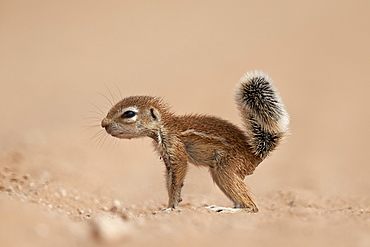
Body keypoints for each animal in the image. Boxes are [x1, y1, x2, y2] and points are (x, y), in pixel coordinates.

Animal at [100, 71, 290, 212]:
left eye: (129, 114)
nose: (103, 123)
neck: (164, 126)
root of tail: (255, 154)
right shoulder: (167, 159)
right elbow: (170, 182)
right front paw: (172, 203)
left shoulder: (176, 151)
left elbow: (176, 180)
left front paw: (170, 208)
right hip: (218, 173)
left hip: (226, 170)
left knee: (252, 207)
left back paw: (224, 209)